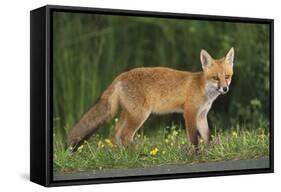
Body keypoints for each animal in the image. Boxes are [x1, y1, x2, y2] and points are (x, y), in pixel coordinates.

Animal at [66, 47, 233, 150]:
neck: (202, 88)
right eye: (215, 78)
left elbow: (207, 136)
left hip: (128, 113)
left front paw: (210, 152)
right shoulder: (190, 113)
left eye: (227, 76)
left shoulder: (201, 115)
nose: (225, 89)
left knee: (115, 135)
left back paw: (119, 156)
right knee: (125, 136)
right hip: (140, 115)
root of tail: (121, 75)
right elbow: (194, 139)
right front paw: (196, 156)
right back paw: (137, 155)